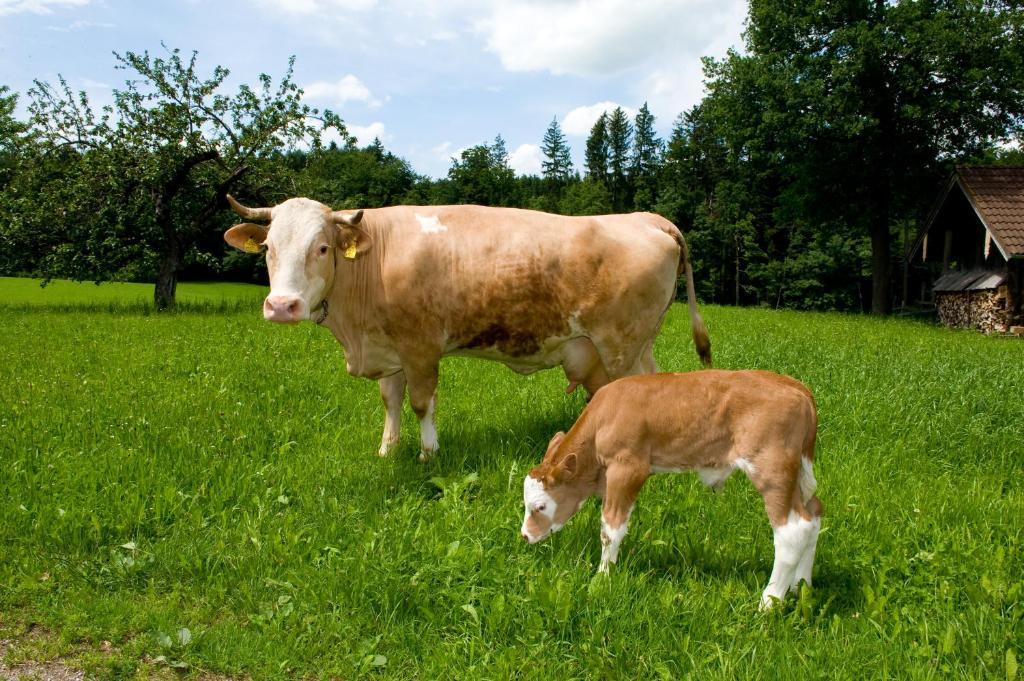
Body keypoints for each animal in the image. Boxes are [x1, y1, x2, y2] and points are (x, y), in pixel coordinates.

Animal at [223, 196, 708, 462]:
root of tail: (643, 217)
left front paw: (428, 453)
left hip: (621, 344)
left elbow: (422, 403)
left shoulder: (420, 348)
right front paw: (387, 449)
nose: (281, 306)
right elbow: (390, 401)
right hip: (636, 345)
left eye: (322, 248)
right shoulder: (391, 351)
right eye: (268, 247)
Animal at [520, 368, 823, 606]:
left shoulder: (627, 467)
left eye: (540, 506)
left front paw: (603, 577)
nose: (524, 536)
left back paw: (769, 602)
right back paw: (801, 586)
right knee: (813, 515)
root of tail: (795, 387)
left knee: (791, 531)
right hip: (798, 475)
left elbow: (610, 529)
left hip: (772, 470)